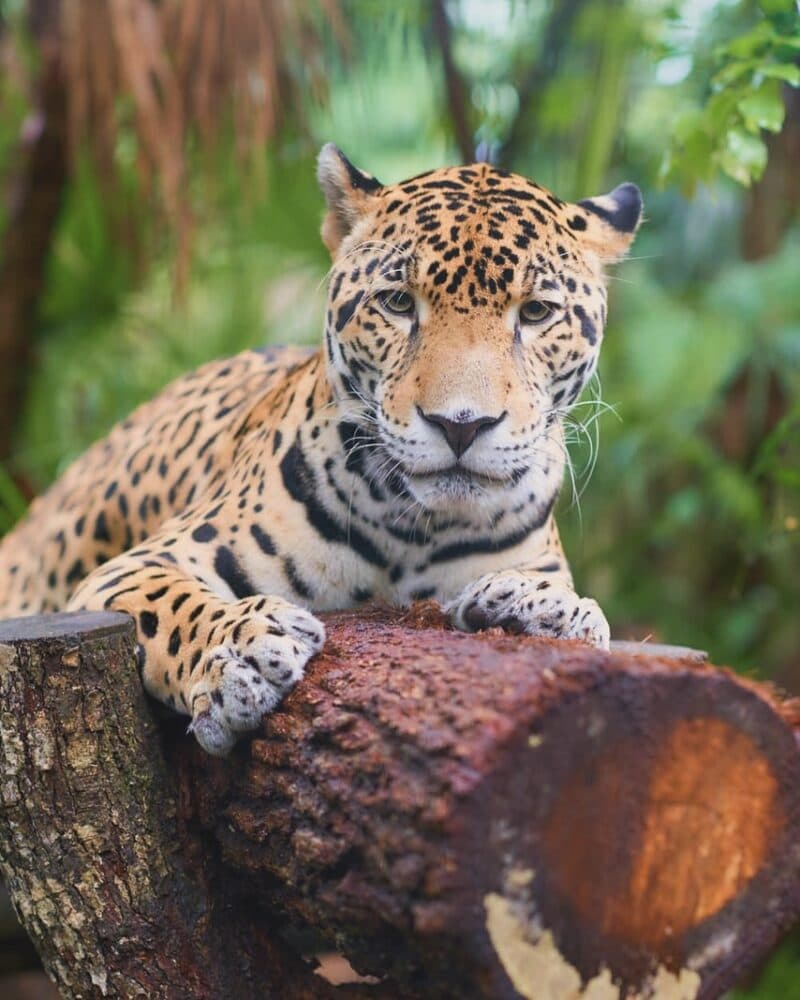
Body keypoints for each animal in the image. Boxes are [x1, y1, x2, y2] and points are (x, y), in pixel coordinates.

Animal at [0, 144, 642, 755]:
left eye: (536, 312)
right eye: (398, 302)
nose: (460, 425)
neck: (418, 531)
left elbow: (563, 600)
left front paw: (544, 606)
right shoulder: (139, 564)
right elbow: (174, 606)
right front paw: (240, 651)